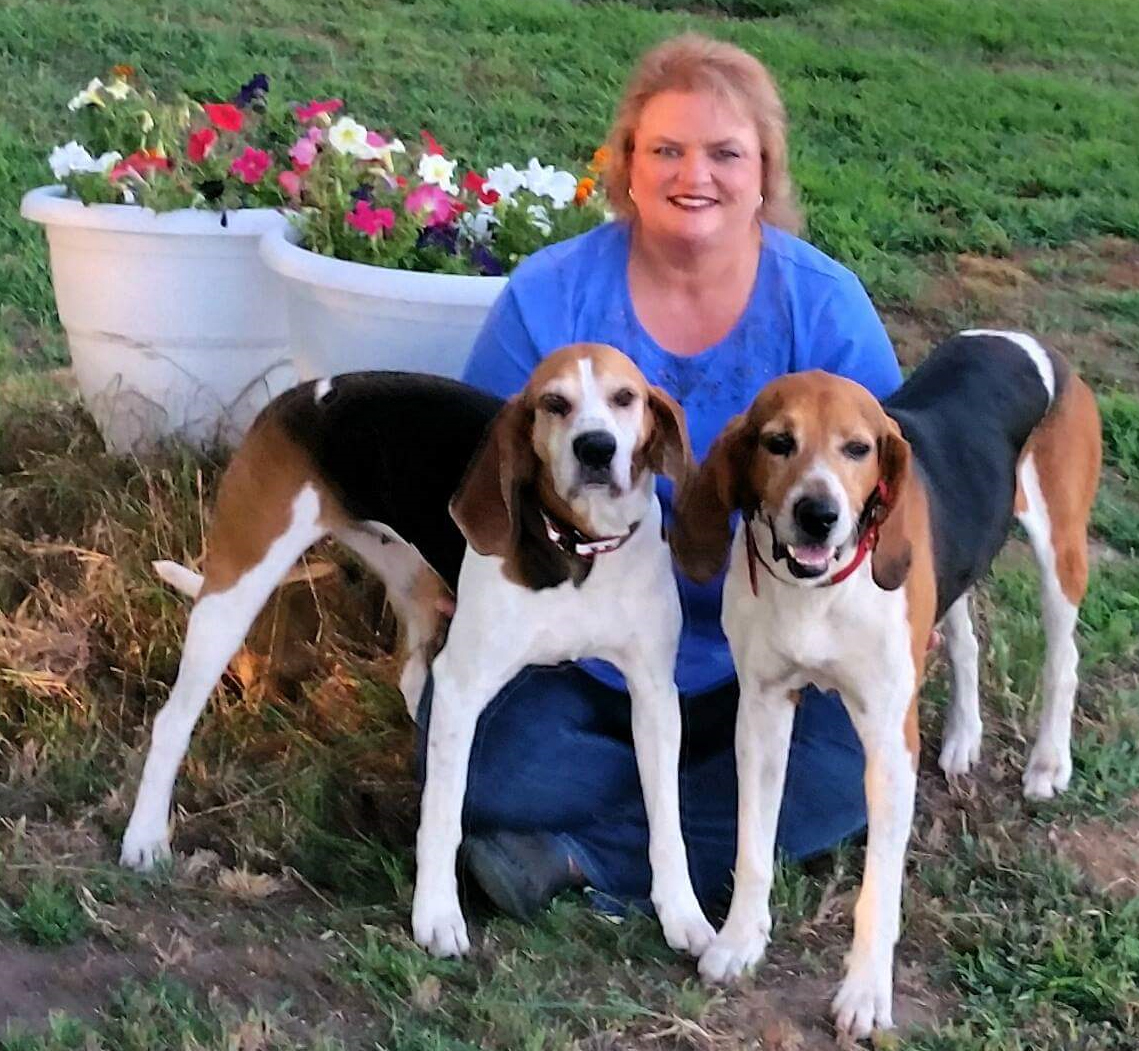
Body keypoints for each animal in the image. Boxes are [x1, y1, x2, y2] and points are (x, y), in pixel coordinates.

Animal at [122, 343, 710, 961]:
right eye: (555, 403)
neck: (578, 549)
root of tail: (304, 393)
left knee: (409, 677)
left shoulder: (653, 696)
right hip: (235, 592)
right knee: (173, 721)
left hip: (413, 584)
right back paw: (144, 838)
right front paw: (437, 916)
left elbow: (666, 819)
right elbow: (445, 814)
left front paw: (682, 914)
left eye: (625, 398)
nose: (596, 448)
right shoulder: (463, 685)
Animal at [669, 332, 1097, 1038]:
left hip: (1060, 551)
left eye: (857, 448)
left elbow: (879, 889)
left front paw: (866, 993)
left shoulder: (888, 746)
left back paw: (1047, 763)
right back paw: (962, 739)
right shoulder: (762, 712)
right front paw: (739, 940)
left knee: (1064, 661)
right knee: (966, 643)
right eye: (777, 442)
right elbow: (753, 843)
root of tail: (1031, 344)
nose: (818, 515)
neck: (817, 591)